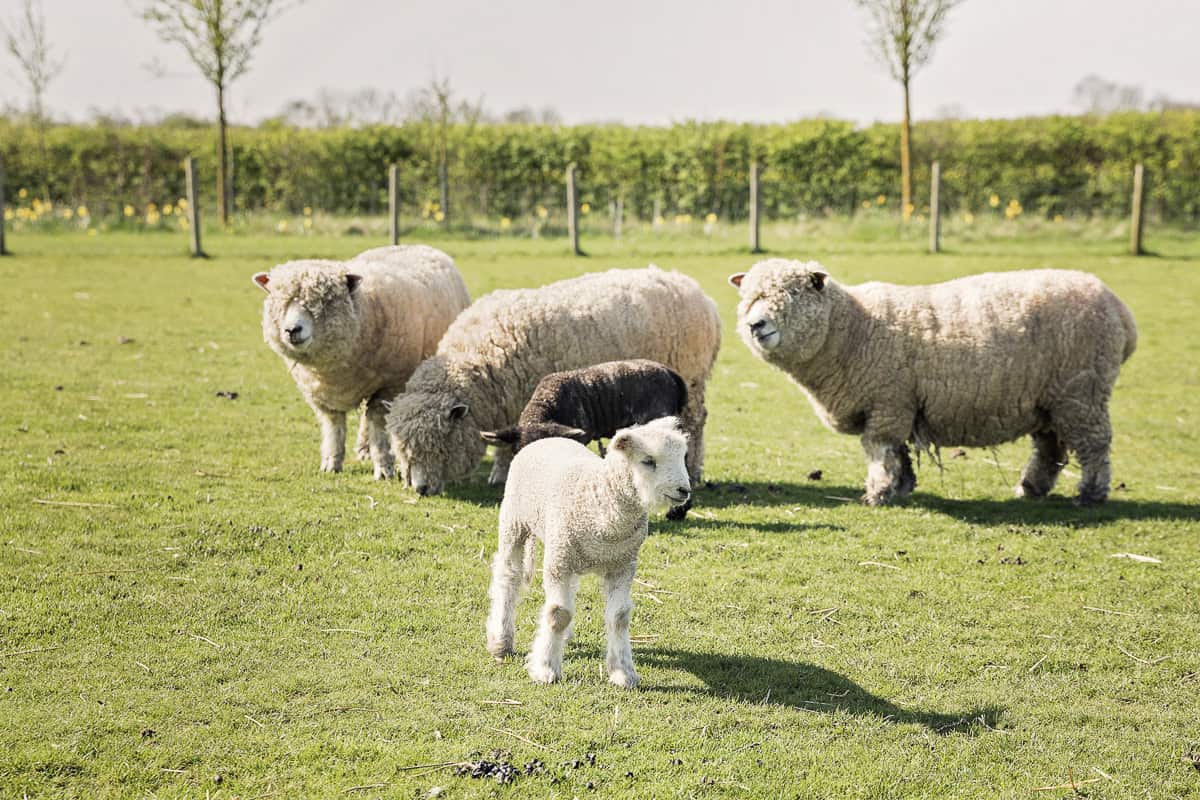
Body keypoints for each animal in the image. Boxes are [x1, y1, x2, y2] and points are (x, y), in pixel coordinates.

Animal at [253, 245, 470, 480]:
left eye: (325, 301)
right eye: (278, 300)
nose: (292, 330)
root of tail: (421, 246)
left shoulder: (389, 386)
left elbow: (378, 425)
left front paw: (383, 468)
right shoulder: (322, 397)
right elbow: (334, 428)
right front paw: (331, 463)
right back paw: (364, 449)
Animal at [384, 266, 720, 498]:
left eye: (438, 446)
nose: (421, 489)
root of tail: (692, 287)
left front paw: (501, 473)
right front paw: (500, 471)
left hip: (692, 381)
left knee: (695, 426)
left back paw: (693, 470)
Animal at [485, 416, 690, 687]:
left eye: (682, 456)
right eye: (648, 461)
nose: (684, 491)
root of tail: (548, 438)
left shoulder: (623, 565)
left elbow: (619, 617)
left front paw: (622, 672)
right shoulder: (559, 563)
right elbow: (558, 614)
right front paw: (545, 669)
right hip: (514, 523)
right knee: (508, 577)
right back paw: (501, 640)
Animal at [729, 260, 1137, 506]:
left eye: (793, 292)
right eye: (748, 296)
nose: (756, 325)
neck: (852, 330)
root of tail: (1119, 309)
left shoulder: (887, 403)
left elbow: (880, 451)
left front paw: (878, 493)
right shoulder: (899, 405)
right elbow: (899, 453)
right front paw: (902, 487)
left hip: (1081, 393)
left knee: (1094, 446)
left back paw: (1091, 493)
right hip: (1051, 399)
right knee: (1050, 448)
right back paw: (1030, 488)